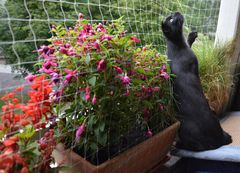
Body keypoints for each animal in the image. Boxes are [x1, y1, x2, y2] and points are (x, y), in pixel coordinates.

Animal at [162, 12, 232, 151]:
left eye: (171, 15)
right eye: (171, 19)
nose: (176, 12)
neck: (176, 45)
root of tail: (220, 138)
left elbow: (188, 41)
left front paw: (191, 36)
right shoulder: (194, 59)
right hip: (188, 129)